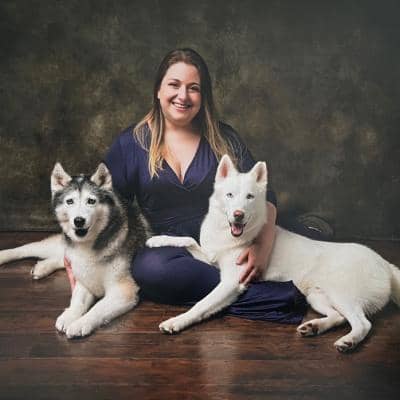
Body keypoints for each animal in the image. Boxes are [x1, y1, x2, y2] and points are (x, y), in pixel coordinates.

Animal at [0, 163, 149, 338]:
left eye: (91, 201)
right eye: (69, 201)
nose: (79, 221)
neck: (88, 245)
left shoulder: (123, 290)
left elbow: (97, 308)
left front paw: (80, 323)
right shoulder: (84, 278)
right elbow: (77, 301)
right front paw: (70, 315)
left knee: (60, 257)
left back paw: (43, 266)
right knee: (29, 248)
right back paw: (6, 256)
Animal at [147, 154, 400, 352]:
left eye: (249, 197)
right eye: (230, 195)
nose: (238, 215)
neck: (232, 236)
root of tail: (385, 265)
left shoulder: (231, 283)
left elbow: (201, 304)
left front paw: (177, 321)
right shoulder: (211, 260)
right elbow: (189, 241)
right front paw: (157, 240)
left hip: (341, 293)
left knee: (363, 324)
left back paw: (348, 342)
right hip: (317, 296)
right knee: (339, 317)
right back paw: (314, 327)